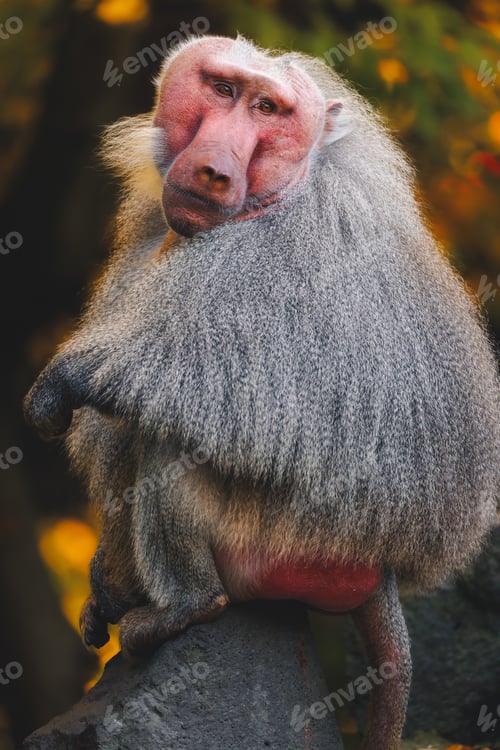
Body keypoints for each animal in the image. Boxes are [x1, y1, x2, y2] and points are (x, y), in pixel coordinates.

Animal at [24, 35, 499, 750]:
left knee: (175, 441)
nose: (214, 170)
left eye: (268, 109)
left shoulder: (286, 255)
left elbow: (229, 387)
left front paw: (64, 379)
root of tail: (384, 567)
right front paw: (104, 581)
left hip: (294, 541)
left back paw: (181, 608)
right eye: (223, 89)